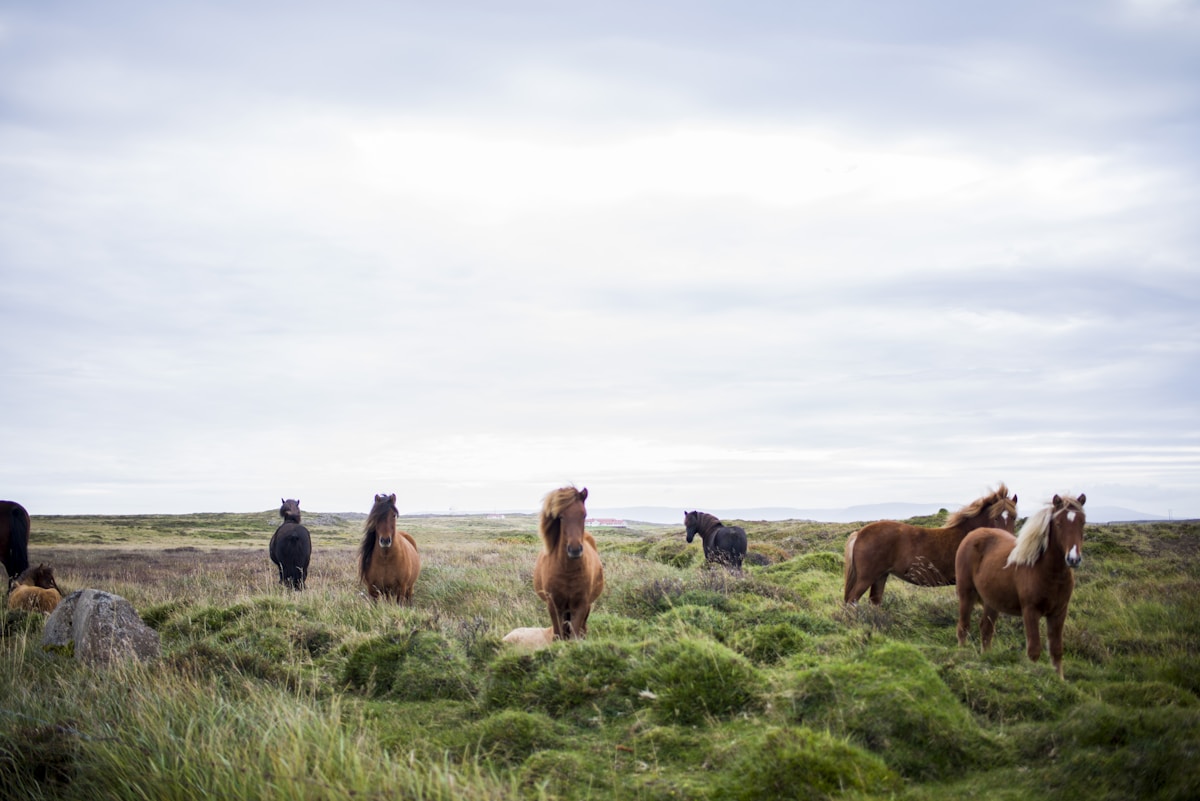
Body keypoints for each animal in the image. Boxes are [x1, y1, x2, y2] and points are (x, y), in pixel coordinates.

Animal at [535, 484, 604, 642]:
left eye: (584, 515)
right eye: (561, 517)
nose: (575, 549)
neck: (567, 571)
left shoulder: (580, 606)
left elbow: (574, 636)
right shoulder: (554, 606)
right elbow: (558, 635)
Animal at [840, 482, 1017, 606]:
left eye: (1014, 517)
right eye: (995, 517)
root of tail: (859, 533)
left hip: (880, 576)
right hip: (866, 577)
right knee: (851, 601)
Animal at [955, 494, 1089, 676]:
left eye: (1082, 522)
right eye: (1059, 523)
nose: (1073, 559)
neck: (1048, 573)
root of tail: (972, 535)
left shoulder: (1059, 613)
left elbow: (1056, 650)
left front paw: (1059, 679)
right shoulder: (1030, 611)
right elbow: (1034, 650)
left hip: (992, 602)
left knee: (986, 629)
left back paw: (986, 658)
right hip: (966, 595)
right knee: (963, 626)